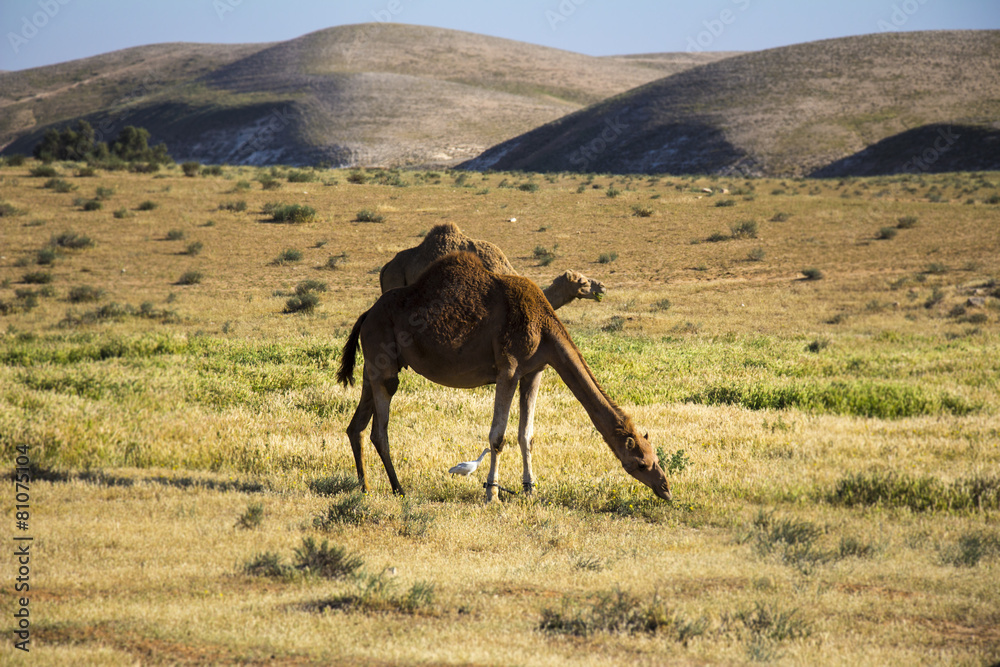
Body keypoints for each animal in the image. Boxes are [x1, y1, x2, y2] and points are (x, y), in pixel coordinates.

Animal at [338, 253, 672, 504]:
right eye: (641, 463)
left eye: (655, 458)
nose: (666, 489)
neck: (544, 326)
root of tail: (366, 314)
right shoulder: (507, 369)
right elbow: (498, 436)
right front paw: (492, 494)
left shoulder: (534, 371)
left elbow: (527, 435)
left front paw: (529, 490)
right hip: (384, 362)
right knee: (379, 429)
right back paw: (398, 489)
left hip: (375, 365)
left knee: (356, 426)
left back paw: (365, 488)